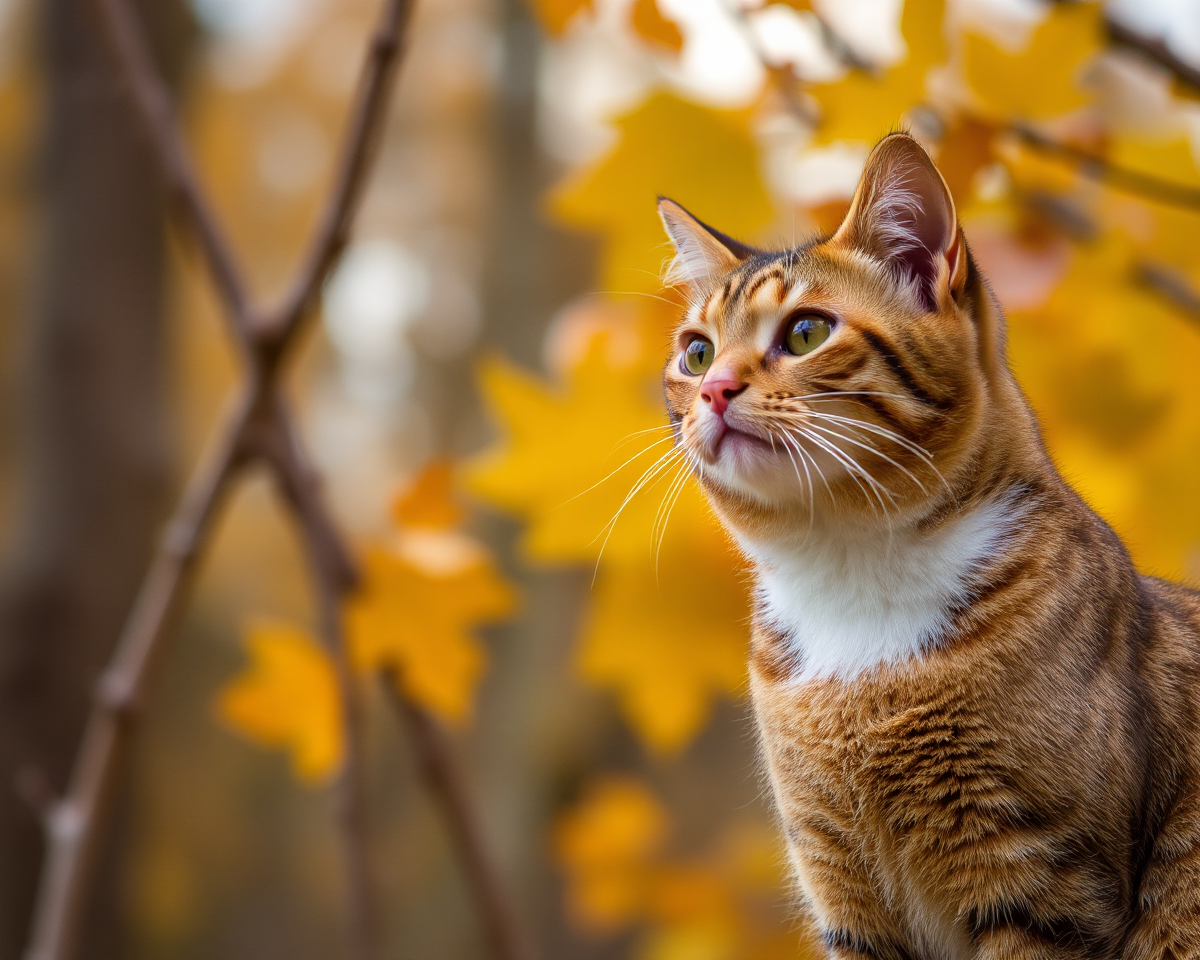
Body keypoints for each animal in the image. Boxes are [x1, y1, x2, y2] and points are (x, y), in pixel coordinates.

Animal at [657, 135, 1200, 960]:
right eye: (694, 352)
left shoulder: (1043, 881)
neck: (852, 577)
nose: (715, 387)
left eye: (806, 333)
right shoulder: (841, 886)